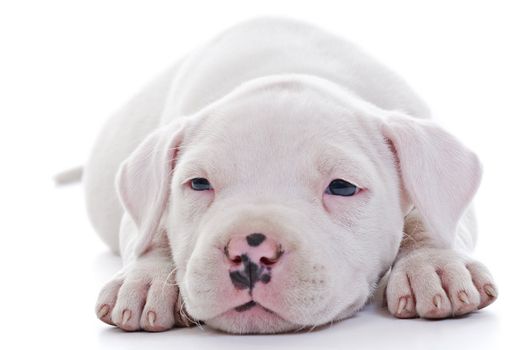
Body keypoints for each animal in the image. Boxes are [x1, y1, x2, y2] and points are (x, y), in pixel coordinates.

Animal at [84, 17, 498, 334]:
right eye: (199, 184)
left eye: (342, 187)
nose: (250, 250)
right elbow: (150, 230)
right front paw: (145, 280)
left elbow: (430, 216)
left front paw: (434, 265)